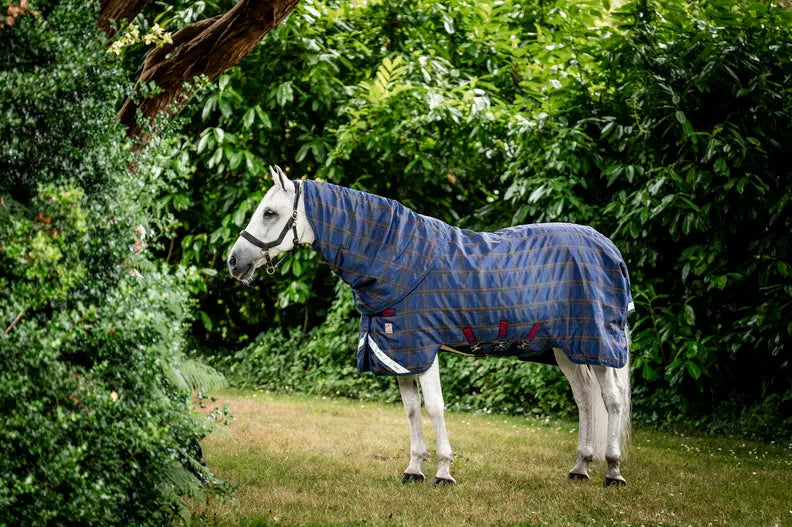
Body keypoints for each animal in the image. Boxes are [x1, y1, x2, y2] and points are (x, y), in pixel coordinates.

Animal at [228, 166, 633, 487]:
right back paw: (580, 467)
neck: (394, 258)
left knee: (611, 400)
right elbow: (411, 410)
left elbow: (436, 407)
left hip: (599, 343)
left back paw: (613, 471)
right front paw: (413, 469)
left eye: (269, 212)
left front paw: (444, 471)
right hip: (568, 348)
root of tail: (608, 246)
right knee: (584, 399)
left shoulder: (423, 347)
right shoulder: (399, 351)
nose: (234, 262)